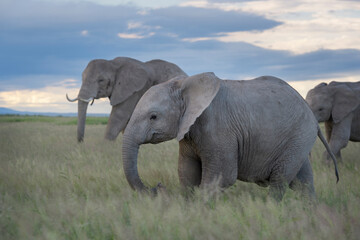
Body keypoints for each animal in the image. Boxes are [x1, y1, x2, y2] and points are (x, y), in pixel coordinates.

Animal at [121, 72, 338, 200]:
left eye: (153, 116)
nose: (156, 187)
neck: (185, 84)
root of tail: (309, 111)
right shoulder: (190, 132)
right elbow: (187, 173)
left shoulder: (218, 128)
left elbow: (222, 176)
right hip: (299, 139)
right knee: (302, 182)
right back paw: (309, 210)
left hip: (298, 135)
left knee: (280, 181)